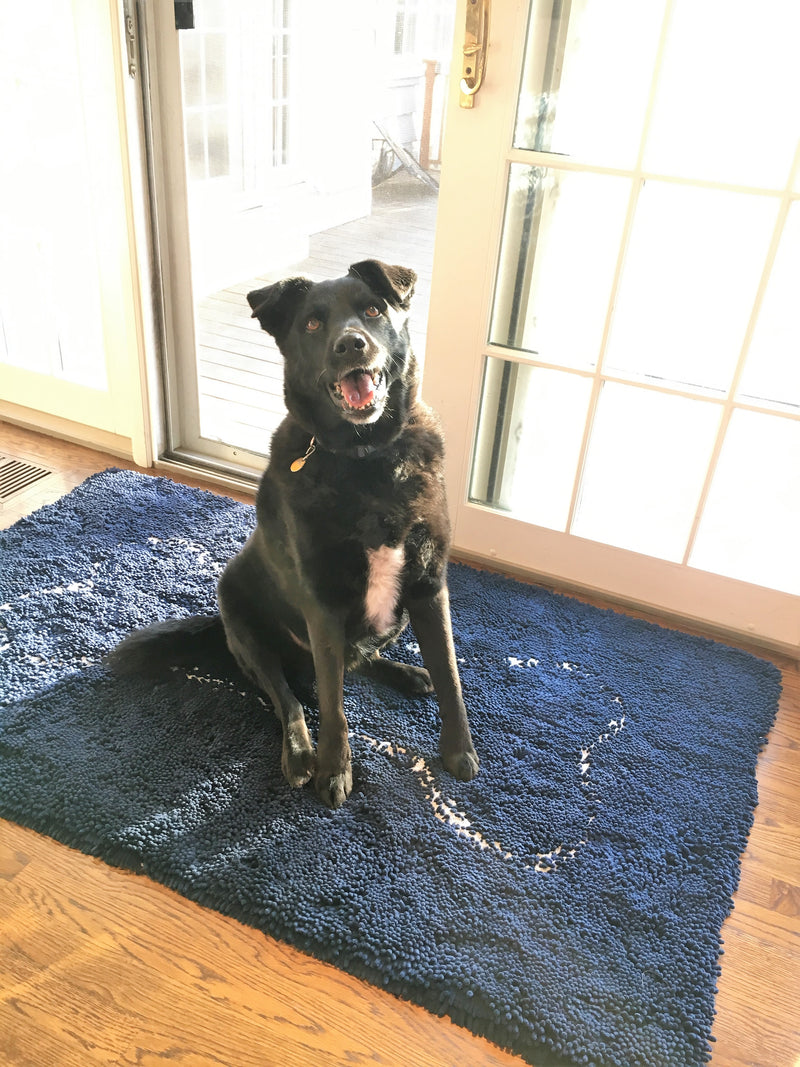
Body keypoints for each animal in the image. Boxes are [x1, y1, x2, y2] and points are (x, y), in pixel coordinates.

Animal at [108, 260, 480, 806]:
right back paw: (302, 753)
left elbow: (450, 675)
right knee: (291, 698)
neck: (366, 458)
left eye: (373, 310)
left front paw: (458, 750)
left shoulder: (429, 587)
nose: (351, 344)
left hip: (394, 619)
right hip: (245, 624)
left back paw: (408, 674)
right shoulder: (322, 605)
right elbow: (333, 704)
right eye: (312, 324)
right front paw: (334, 770)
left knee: (360, 660)